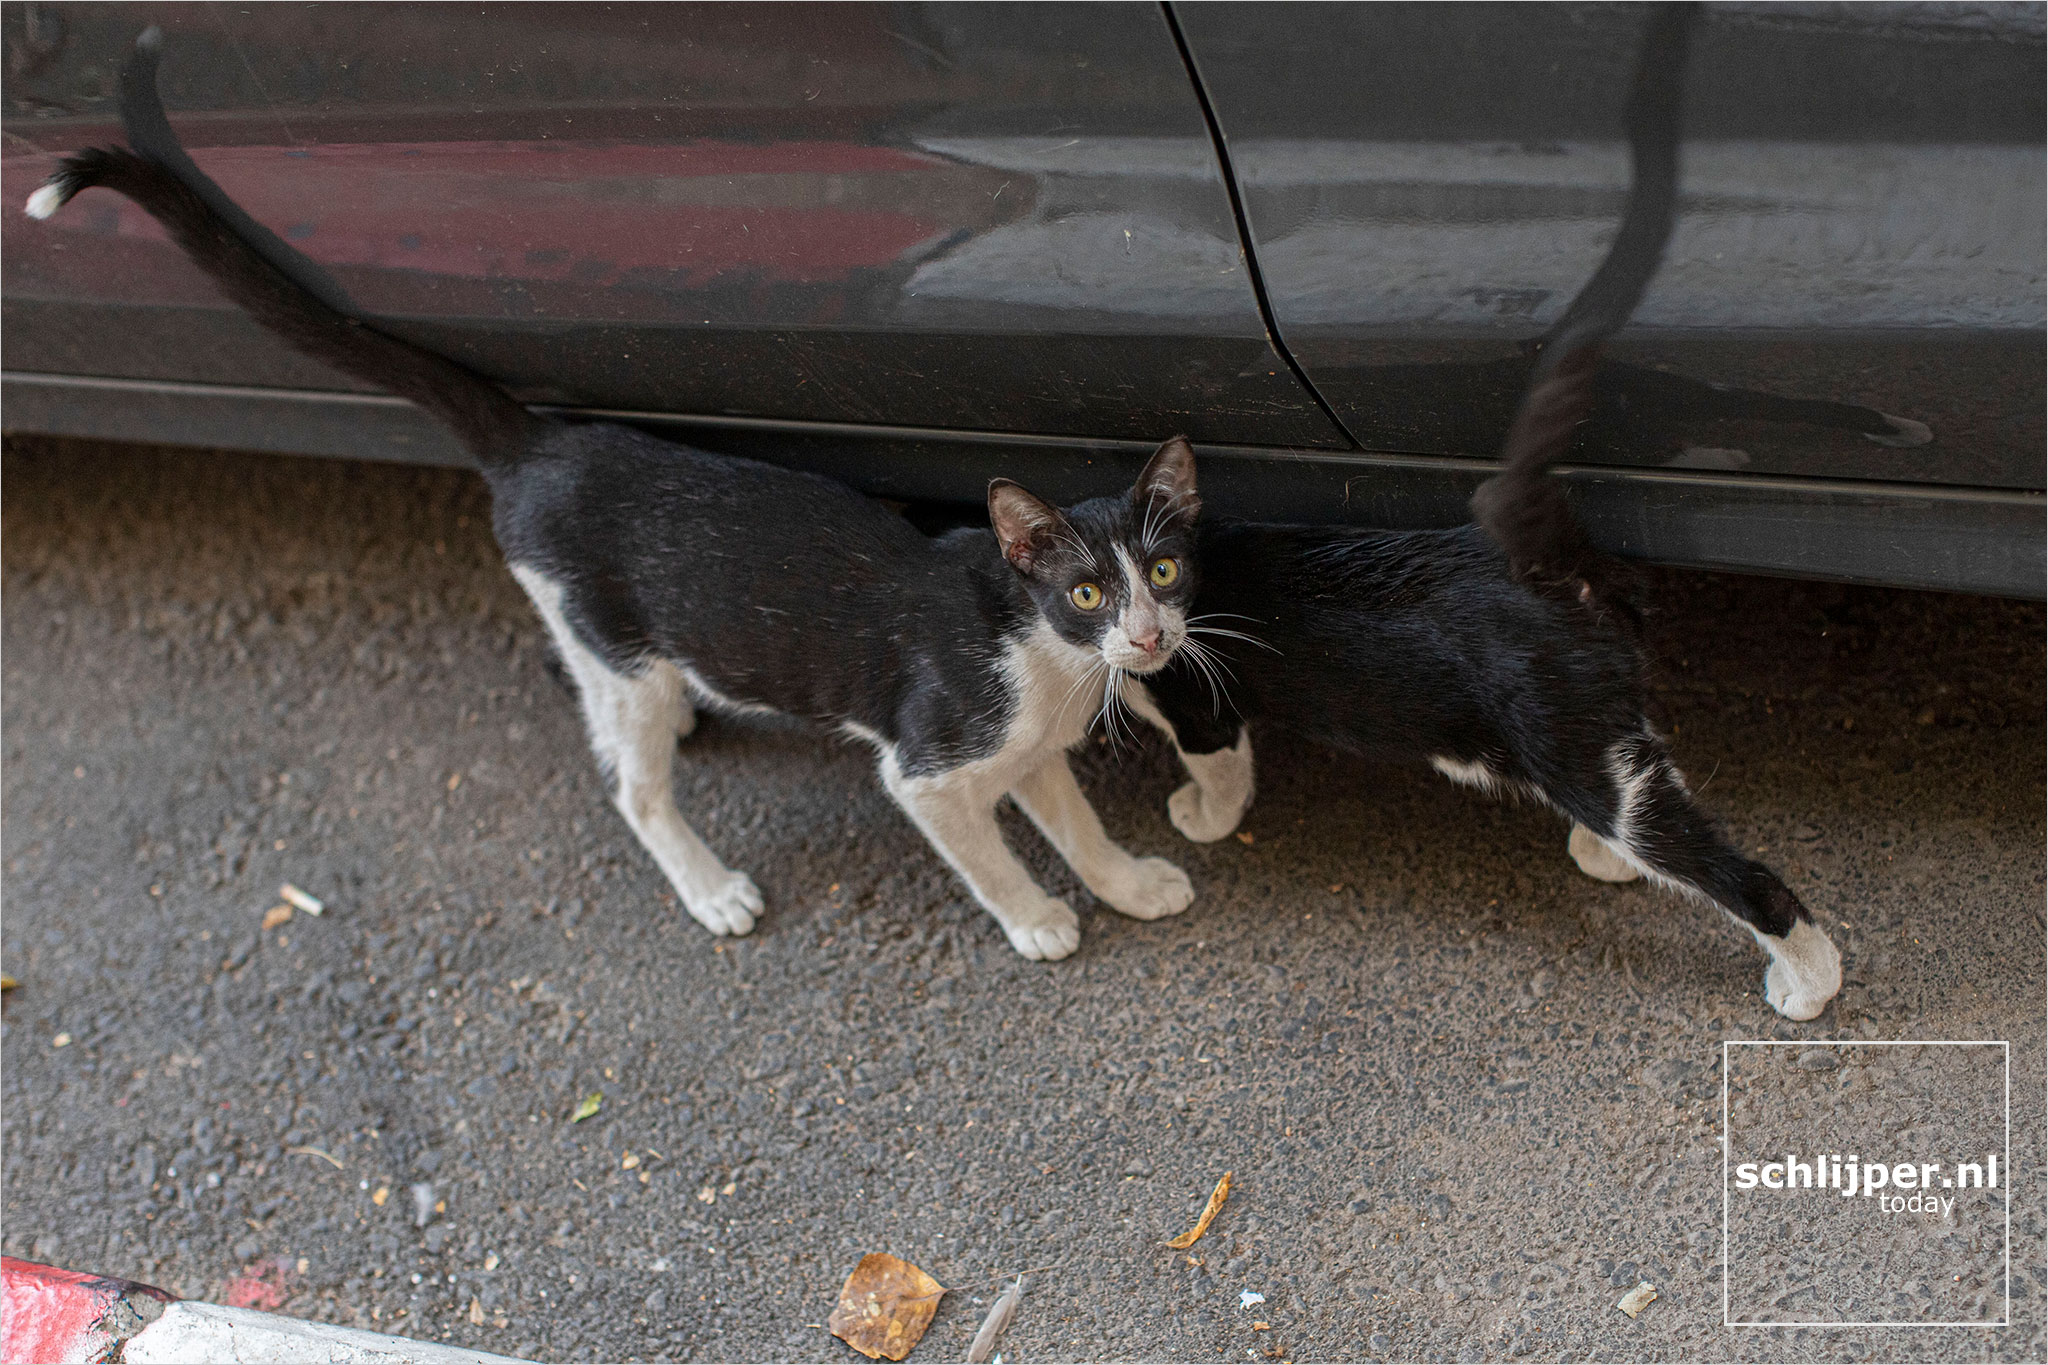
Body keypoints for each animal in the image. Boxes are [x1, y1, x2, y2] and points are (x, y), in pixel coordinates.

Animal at [32, 34, 1204, 970]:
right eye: (1085, 593)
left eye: (1161, 570)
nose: (1149, 635)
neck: (1043, 659)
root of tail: (548, 442)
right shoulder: (929, 766)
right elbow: (986, 849)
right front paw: (1035, 919)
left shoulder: (1027, 750)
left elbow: (1074, 819)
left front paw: (1127, 881)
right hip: (616, 640)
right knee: (633, 788)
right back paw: (709, 886)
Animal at [1130, 7, 1851, 1023]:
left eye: (1149, 573)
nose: (1140, 631)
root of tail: (1531, 559)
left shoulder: (1201, 706)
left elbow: (1219, 767)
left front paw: (1200, 816)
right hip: (1597, 732)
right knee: (1653, 784)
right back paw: (1604, 855)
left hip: (1575, 747)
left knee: (1743, 874)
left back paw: (1808, 981)